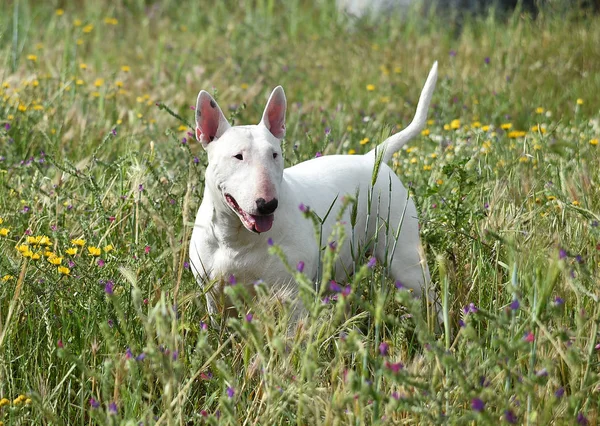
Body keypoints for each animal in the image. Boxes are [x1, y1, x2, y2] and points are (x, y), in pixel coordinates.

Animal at [190, 61, 438, 318]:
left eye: (274, 154)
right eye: (238, 156)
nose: (268, 204)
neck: (237, 239)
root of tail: (371, 159)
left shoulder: (292, 295)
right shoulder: (215, 296)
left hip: (404, 256)